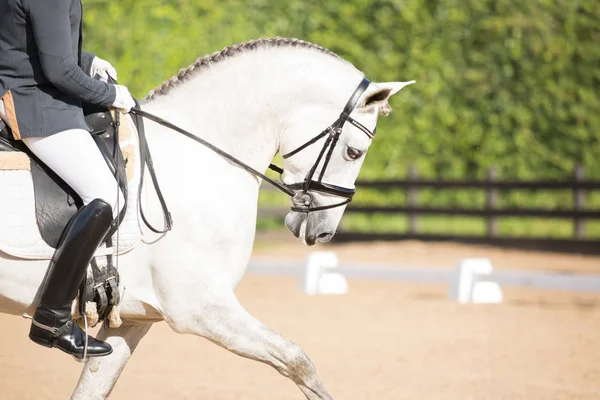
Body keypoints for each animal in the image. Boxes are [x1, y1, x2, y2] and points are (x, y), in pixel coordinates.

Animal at [0, 38, 412, 400]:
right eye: (354, 152)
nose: (323, 232)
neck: (198, 159)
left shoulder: (134, 319)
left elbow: (94, 385)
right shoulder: (202, 308)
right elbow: (298, 361)